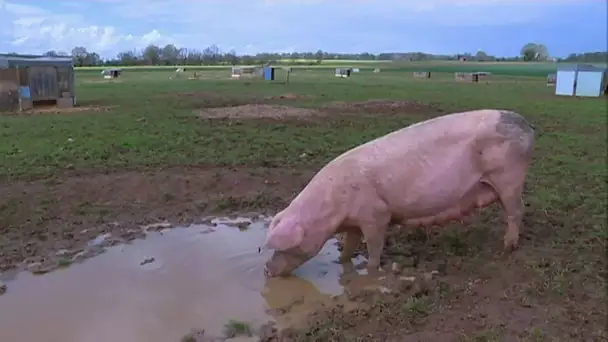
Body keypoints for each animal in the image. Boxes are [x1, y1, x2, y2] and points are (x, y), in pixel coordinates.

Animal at [264, 109, 536, 278]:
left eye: (286, 247)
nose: (267, 270)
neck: (332, 209)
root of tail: (527, 125)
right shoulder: (354, 222)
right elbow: (349, 246)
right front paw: (340, 263)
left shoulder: (377, 215)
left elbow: (374, 246)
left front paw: (371, 271)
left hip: (508, 177)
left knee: (517, 210)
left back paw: (507, 248)